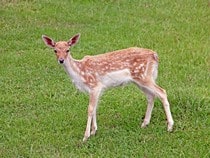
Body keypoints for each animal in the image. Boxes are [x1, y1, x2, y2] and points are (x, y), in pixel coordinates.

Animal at [41, 33, 174, 142]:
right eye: (55, 50)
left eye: (68, 50)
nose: (61, 60)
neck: (80, 73)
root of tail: (155, 55)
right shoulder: (97, 89)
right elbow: (95, 108)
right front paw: (94, 131)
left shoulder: (95, 85)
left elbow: (90, 109)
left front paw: (86, 136)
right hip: (140, 79)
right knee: (151, 96)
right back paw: (145, 124)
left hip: (144, 76)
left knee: (162, 92)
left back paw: (170, 126)